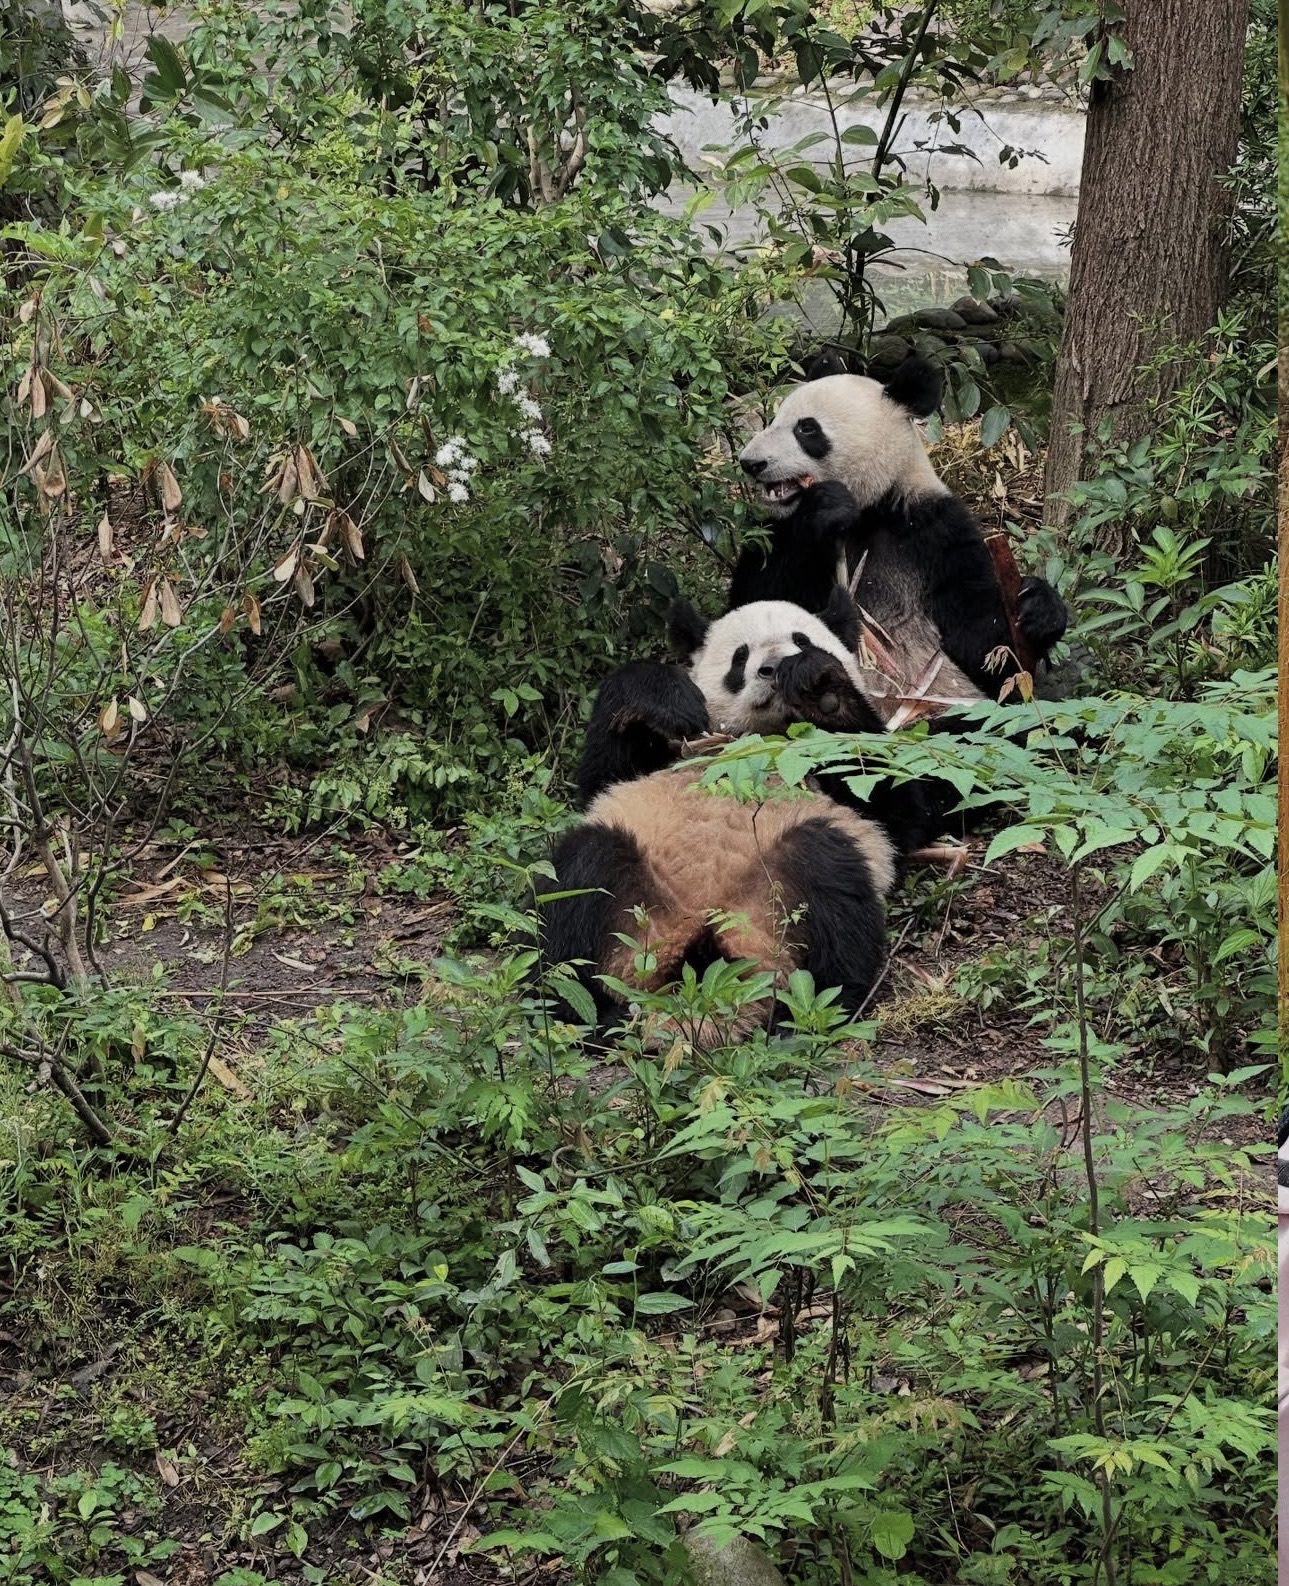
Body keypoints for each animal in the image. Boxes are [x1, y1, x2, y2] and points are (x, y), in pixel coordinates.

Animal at [542, 589, 922, 1039]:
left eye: (802, 640)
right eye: (740, 657)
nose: (772, 669)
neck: (764, 736)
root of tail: (704, 979)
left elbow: (896, 809)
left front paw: (821, 688)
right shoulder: (668, 757)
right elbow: (602, 777)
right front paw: (668, 699)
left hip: (778, 916)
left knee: (829, 871)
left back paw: (805, 1017)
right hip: (634, 906)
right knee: (583, 872)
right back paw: (592, 1012)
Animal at [733, 356, 1068, 698]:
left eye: (806, 428)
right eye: (773, 420)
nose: (751, 463)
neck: (871, 509)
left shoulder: (937, 531)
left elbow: (987, 652)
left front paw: (1039, 607)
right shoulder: (776, 530)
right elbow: (755, 608)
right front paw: (825, 507)